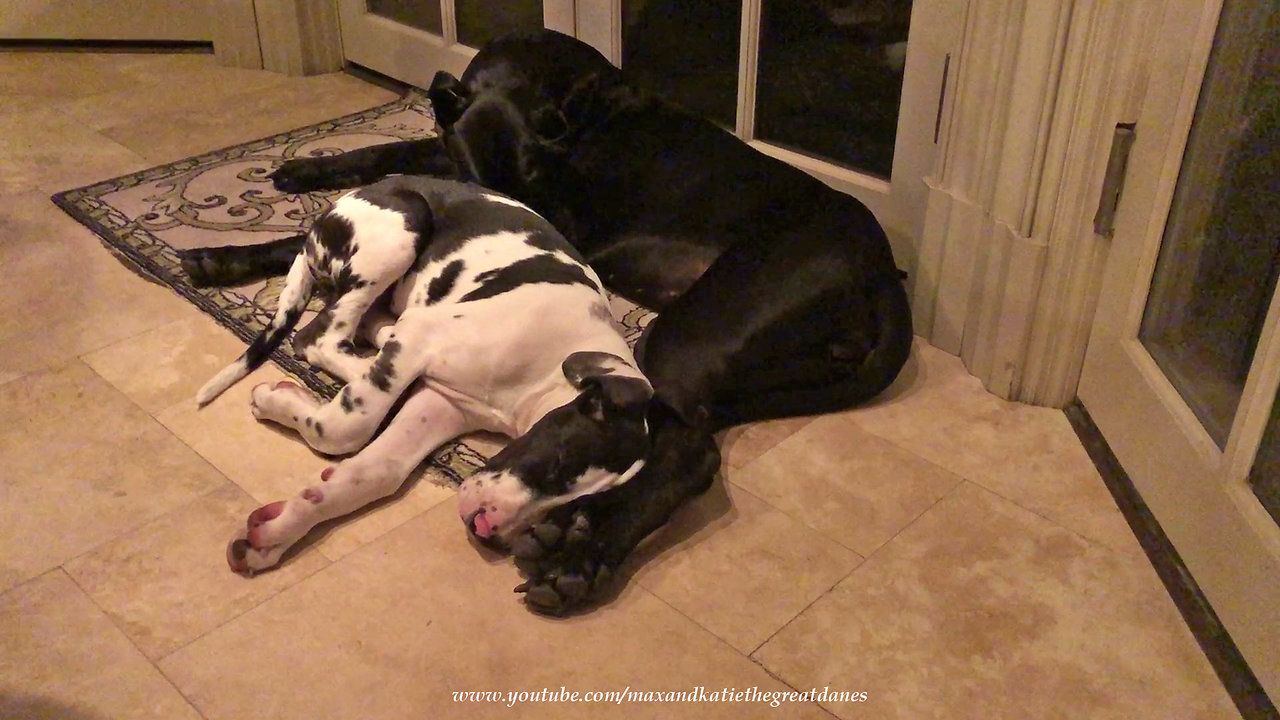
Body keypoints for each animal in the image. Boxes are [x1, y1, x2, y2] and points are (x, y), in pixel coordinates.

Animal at [199, 176, 660, 573]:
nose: (487, 531)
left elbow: (373, 473)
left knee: (363, 326)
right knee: (320, 336)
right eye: (558, 460)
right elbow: (347, 427)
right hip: (403, 231)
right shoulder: (420, 341)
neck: (543, 370)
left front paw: (276, 534)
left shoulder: (442, 408)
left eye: (571, 510)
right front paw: (281, 400)